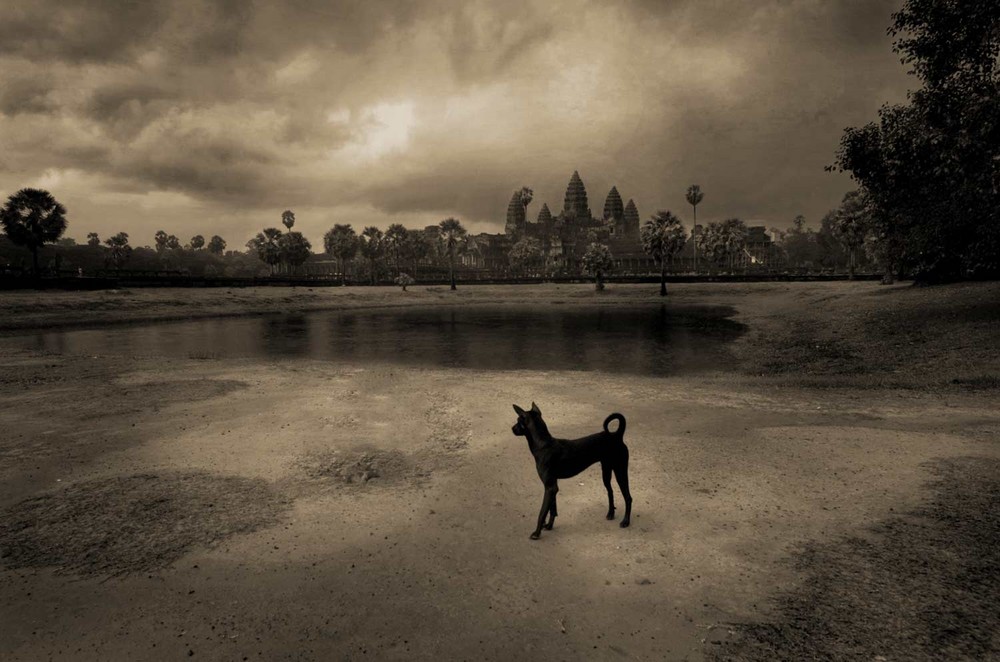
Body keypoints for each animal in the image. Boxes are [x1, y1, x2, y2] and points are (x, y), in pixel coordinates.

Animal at [512, 402, 628, 544]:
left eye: (518, 420)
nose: (512, 428)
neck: (543, 444)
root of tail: (617, 436)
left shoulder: (549, 487)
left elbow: (542, 512)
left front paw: (536, 533)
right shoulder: (553, 487)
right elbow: (552, 509)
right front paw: (549, 526)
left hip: (621, 472)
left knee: (628, 497)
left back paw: (626, 521)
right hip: (606, 472)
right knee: (610, 492)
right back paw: (611, 513)